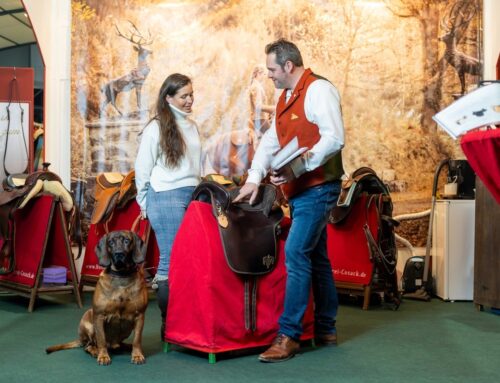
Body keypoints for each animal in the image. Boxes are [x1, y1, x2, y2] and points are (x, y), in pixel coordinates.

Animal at [46, 231, 148, 366]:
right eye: (110, 242)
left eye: (127, 241)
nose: (119, 253)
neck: (121, 276)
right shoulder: (99, 316)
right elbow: (101, 340)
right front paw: (103, 356)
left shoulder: (139, 316)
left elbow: (137, 339)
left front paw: (137, 355)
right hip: (88, 319)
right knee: (89, 345)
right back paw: (95, 351)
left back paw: (126, 346)